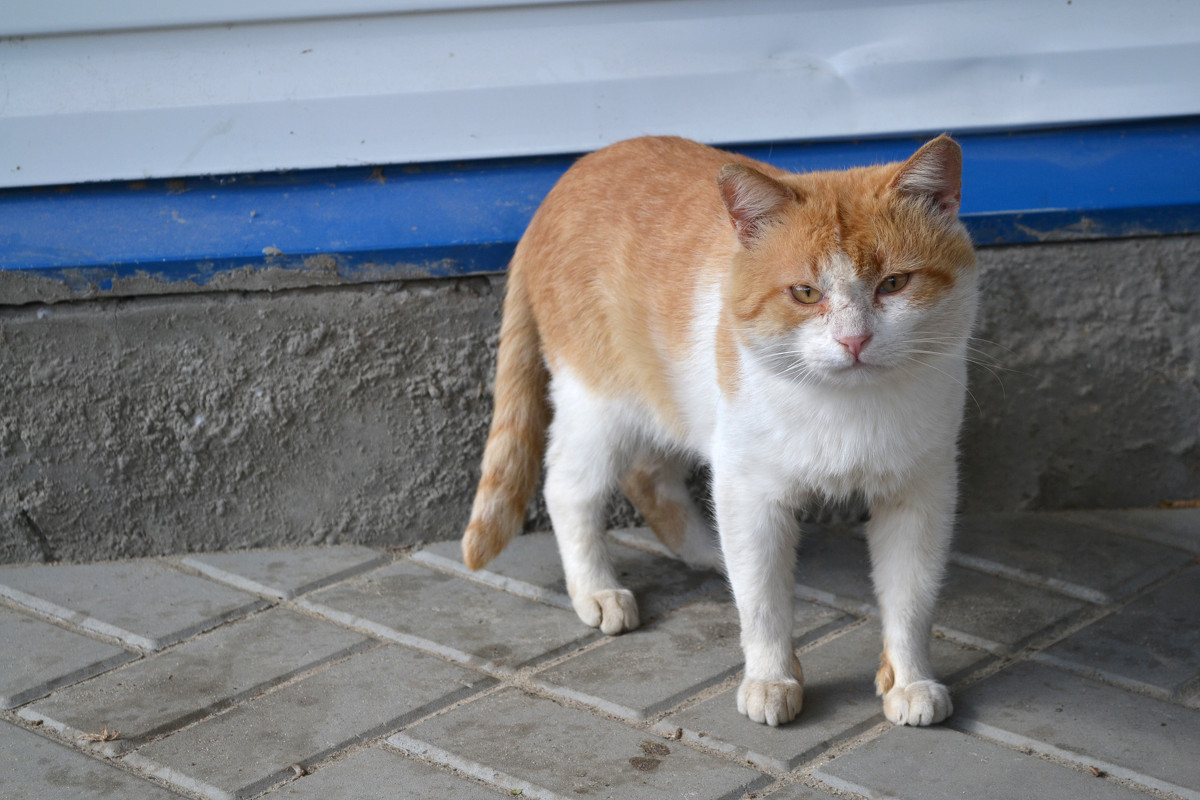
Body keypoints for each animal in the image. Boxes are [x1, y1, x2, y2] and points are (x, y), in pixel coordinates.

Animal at [458, 134, 974, 729]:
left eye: (894, 283)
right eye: (804, 293)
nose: (854, 340)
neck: (846, 406)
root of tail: (565, 180)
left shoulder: (920, 494)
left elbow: (910, 600)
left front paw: (911, 682)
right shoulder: (750, 491)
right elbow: (762, 600)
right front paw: (771, 680)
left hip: (676, 405)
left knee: (649, 475)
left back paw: (706, 550)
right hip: (600, 406)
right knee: (568, 487)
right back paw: (598, 590)